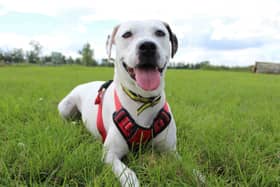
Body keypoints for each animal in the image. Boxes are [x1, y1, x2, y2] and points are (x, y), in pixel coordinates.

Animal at [58, 19, 178, 186]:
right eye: (127, 34)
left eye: (160, 33)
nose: (147, 46)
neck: (142, 100)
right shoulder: (110, 154)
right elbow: (129, 174)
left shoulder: (171, 152)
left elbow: (192, 170)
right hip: (66, 106)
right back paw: (75, 124)